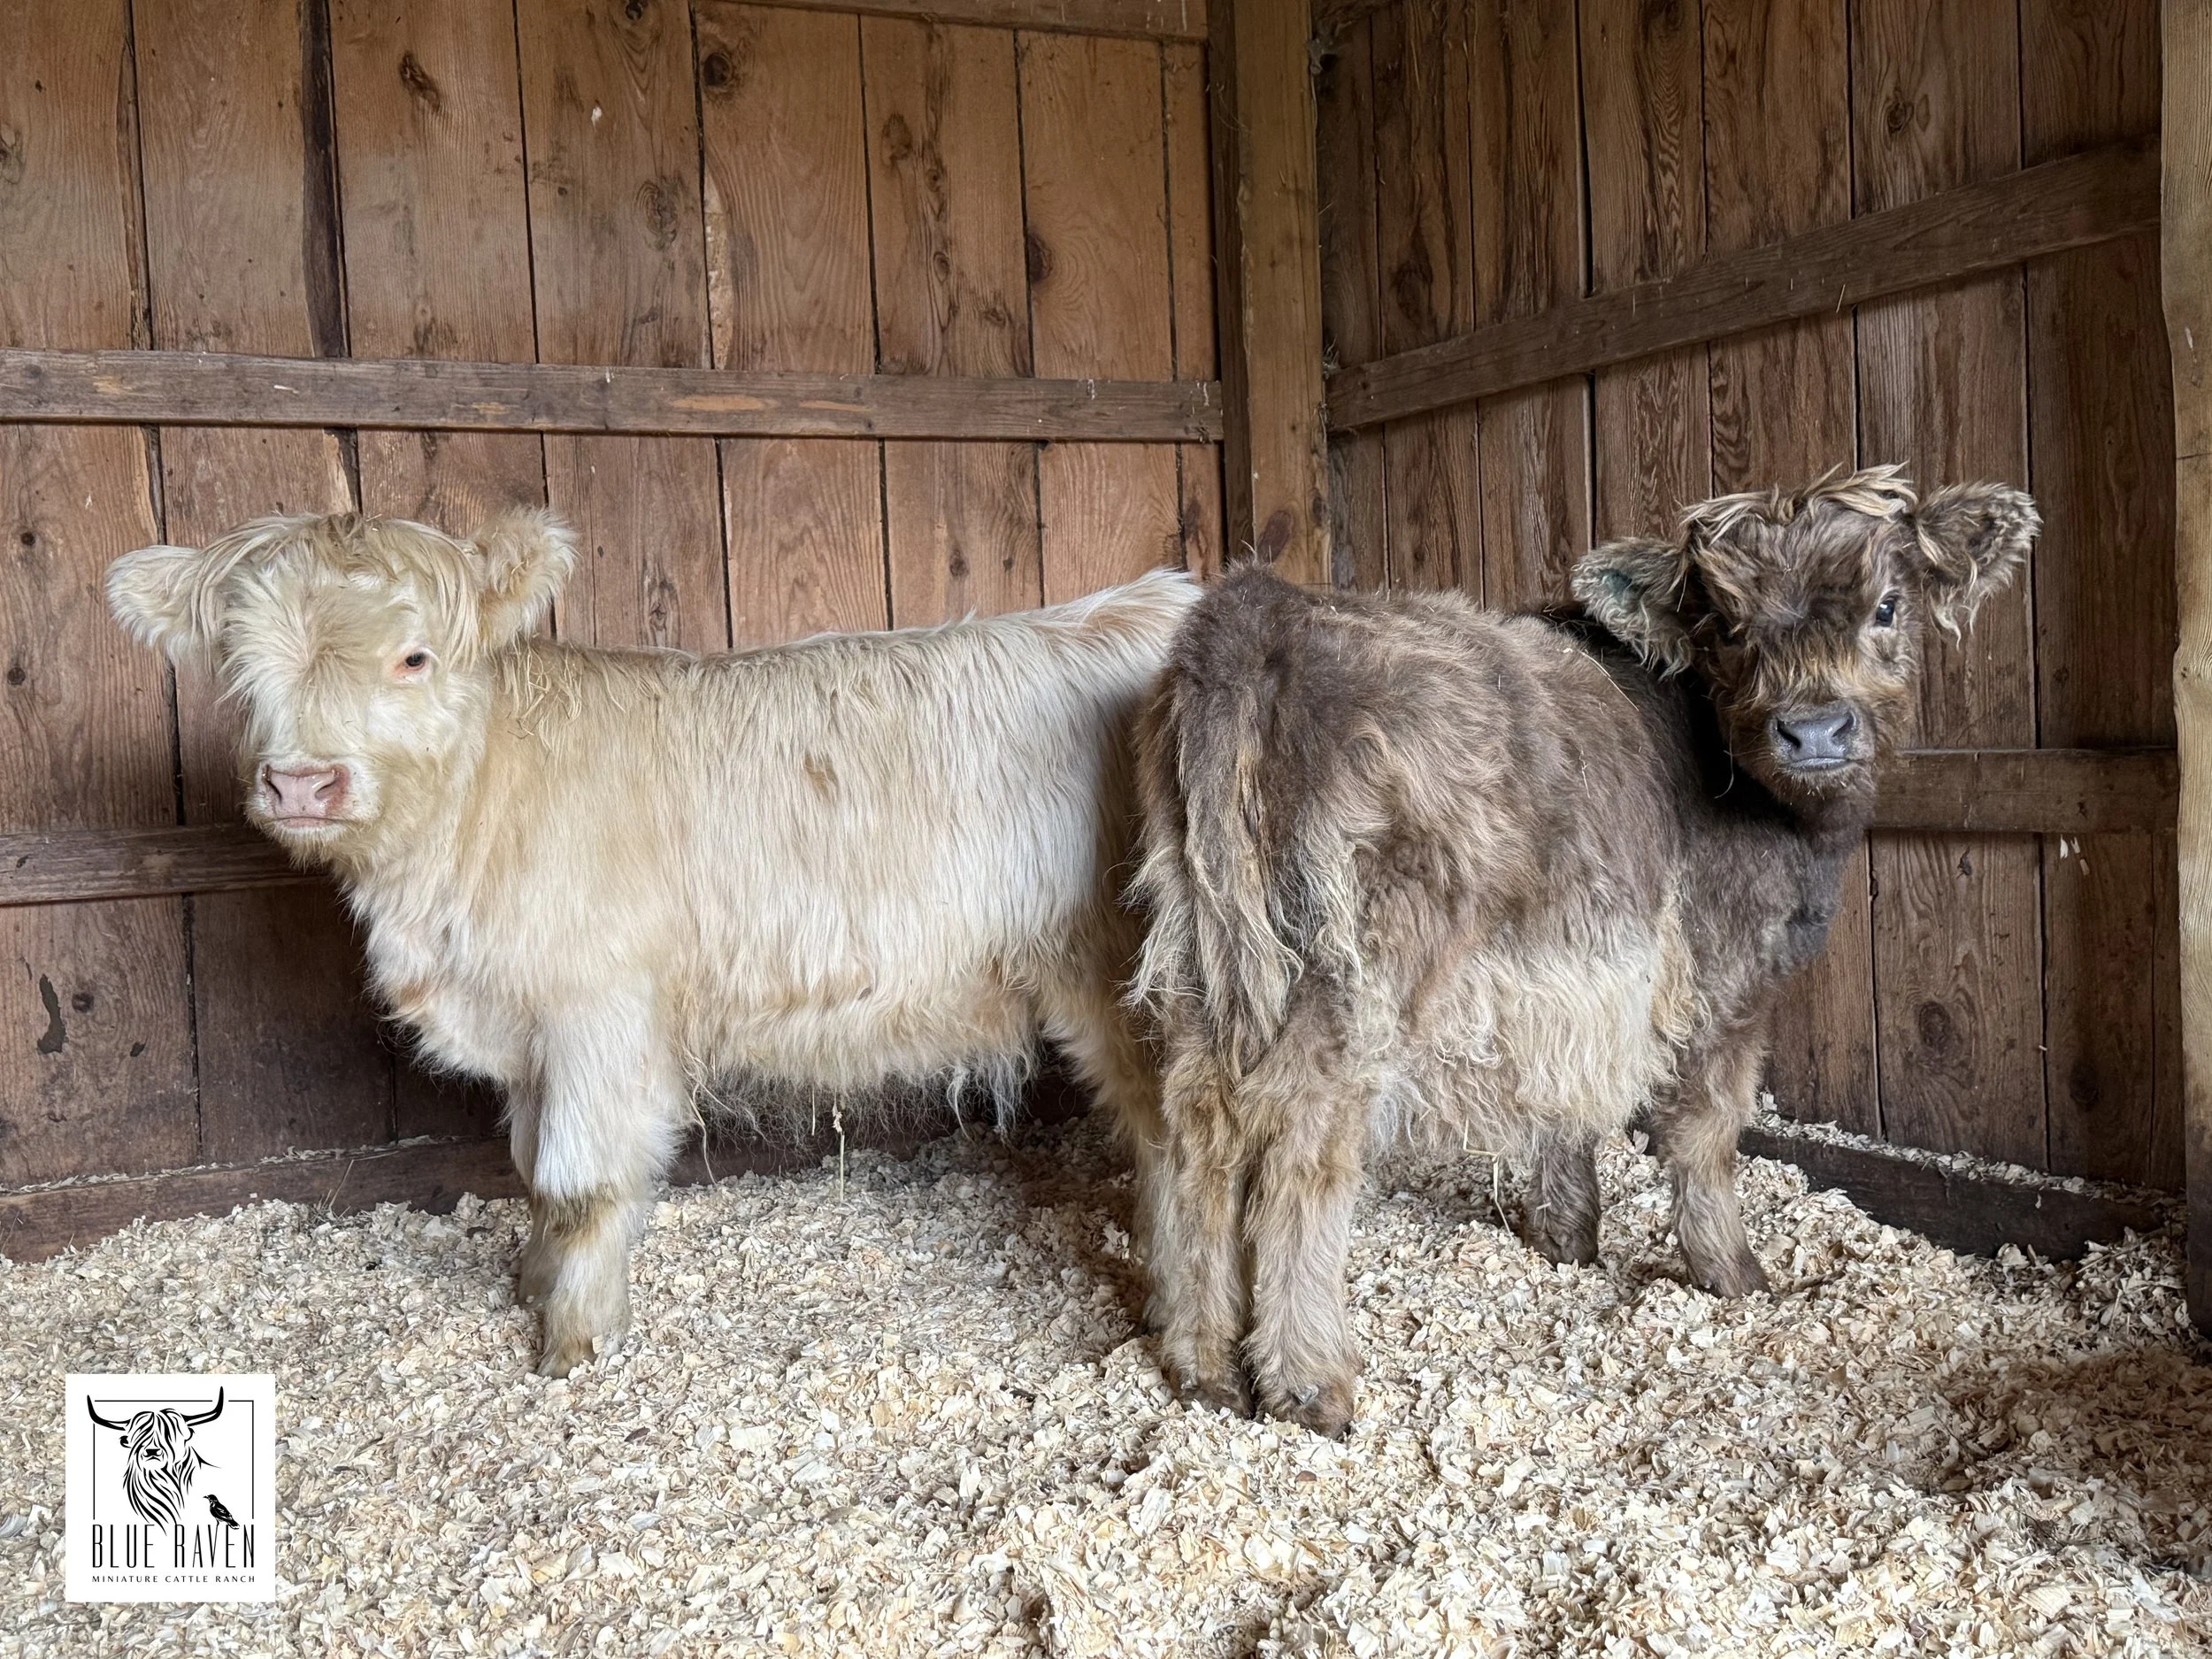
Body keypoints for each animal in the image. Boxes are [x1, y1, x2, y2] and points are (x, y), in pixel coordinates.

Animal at [108, 511, 1196, 1377]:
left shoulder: (600, 1011)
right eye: (238, 661)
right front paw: (533, 1281)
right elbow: (529, 1167)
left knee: (1169, 1134)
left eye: (414, 656)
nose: (301, 783)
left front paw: (575, 1342)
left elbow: (580, 1181)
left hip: (1122, 982)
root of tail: (1155, 599)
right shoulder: (531, 1028)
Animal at [1129, 467, 2038, 1435]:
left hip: (1201, 950)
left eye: (1886, 605)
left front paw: (1569, 1240)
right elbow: (1705, 1128)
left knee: (1199, 1126)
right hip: (1356, 966)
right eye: (1728, 623)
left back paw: (1201, 1362)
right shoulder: (1724, 979)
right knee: (1300, 1138)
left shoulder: (1572, 974)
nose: (1816, 730)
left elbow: (1560, 1103)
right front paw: (1733, 1274)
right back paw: (1308, 1379)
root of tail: (1264, 606)